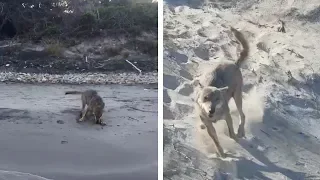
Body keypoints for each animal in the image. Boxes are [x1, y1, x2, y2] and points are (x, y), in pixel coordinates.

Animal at [195, 26, 250, 158]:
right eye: (206, 98)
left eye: (217, 99)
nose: (211, 110)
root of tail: (234, 63)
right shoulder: (209, 124)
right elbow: (215, 139)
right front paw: (221, 153)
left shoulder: (227, 116)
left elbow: (231, 133)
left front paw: (236, 138)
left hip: (237, 96)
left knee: (242, 115)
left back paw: (240, 131)